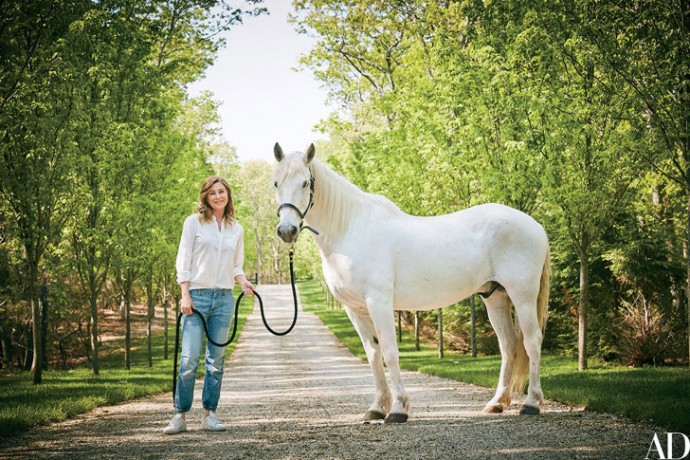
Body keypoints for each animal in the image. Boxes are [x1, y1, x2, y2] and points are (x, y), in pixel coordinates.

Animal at [272, 142, 544, 422]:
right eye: (276, 183)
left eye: (305, 183)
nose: (287, 231)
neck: (351, 229)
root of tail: (534, 224)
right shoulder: (355, 308)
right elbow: (373, 354)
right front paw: (377, 407)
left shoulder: (379, 302)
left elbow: (390, 352)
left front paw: (398, 408)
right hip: (495, 296)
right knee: (508, 345)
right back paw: (497, 403)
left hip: (522, 295)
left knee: (532, 340)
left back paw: (531, 403)